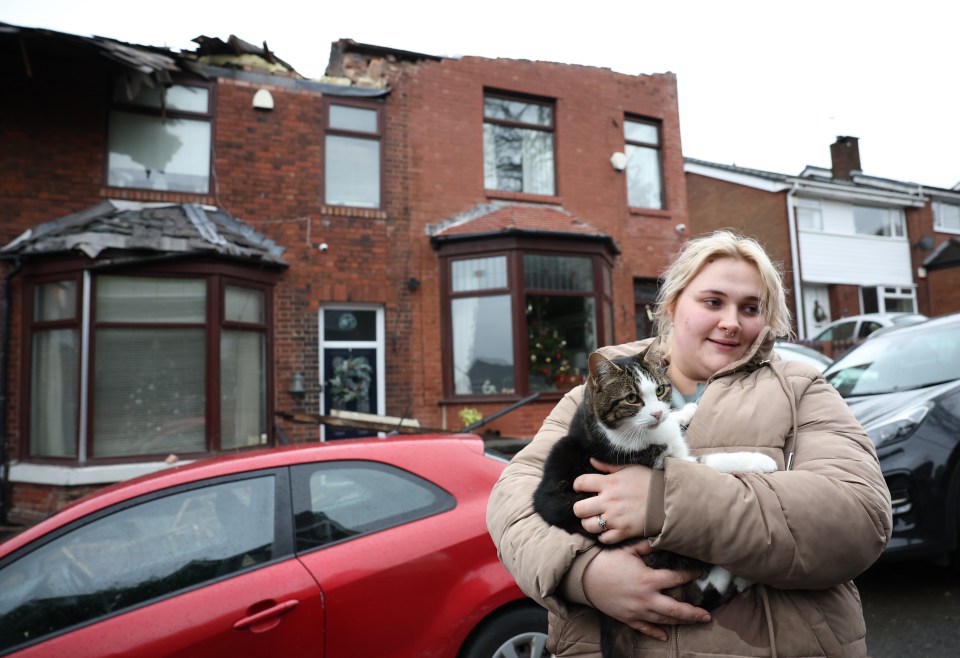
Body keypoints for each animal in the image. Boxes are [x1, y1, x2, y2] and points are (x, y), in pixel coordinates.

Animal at [532, 346, 780, 652]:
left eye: (660, 390)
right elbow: (711, 464)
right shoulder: (663, 463)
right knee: (699, 594)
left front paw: (683, 412)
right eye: (631, 398)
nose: (658, 412)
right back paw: (739, 576)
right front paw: (758, 460)